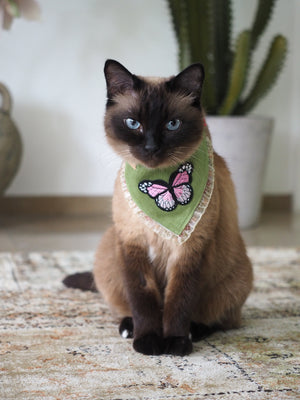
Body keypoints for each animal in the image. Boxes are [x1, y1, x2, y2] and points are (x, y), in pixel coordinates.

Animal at [63, 60, 253, 356]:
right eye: (133, 123)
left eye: (172, 125)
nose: (151, 147)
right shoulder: (133, 245)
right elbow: (143, 301)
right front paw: (149, 342)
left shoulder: (189, 251)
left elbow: (179, 302)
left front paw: (175, 344)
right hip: (108, 253)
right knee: (127, 307)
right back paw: (129, 329)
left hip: (236, 279)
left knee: (219, 319)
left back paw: (194, 332)